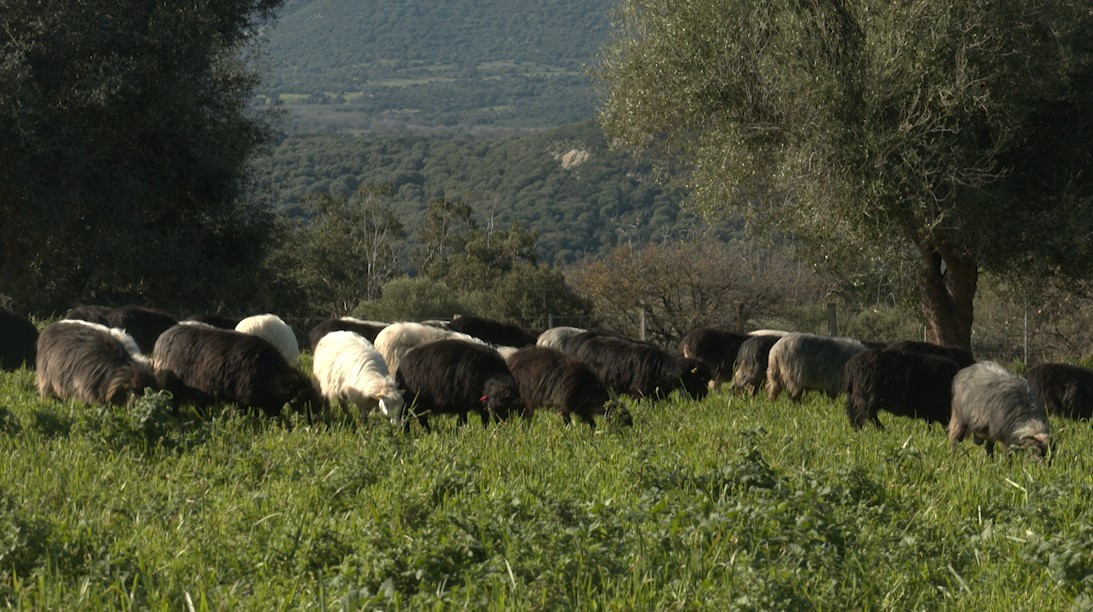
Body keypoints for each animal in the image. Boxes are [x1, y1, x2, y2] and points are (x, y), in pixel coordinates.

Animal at [151, 323, 319, 417]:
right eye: (305, 402)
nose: (315, 423)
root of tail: (162, 338)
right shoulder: (245, 396)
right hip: (172, 388)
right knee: (175, 405)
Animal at [502, 347, 633, 428]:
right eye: (624, 419)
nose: (632, 425)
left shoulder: (581, 407)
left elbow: (592, 423)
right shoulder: (563, 403)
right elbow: (568, 423)